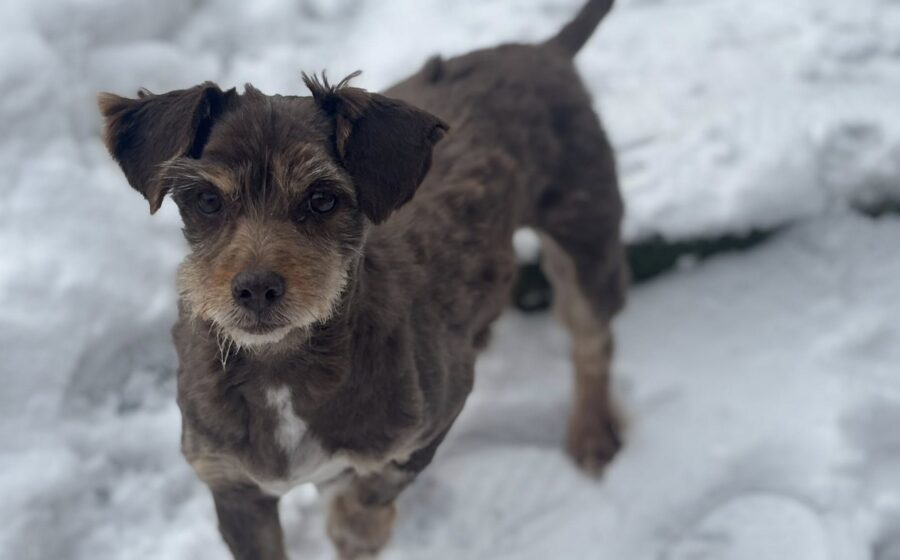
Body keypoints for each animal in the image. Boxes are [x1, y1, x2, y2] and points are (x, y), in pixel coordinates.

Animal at [97, 0, 625, 557]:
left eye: (322, 199)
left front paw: (354, 520)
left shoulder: (427, 424)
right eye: (207, 199)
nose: (256, 288)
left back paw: (593, 435)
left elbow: (366, 498)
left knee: (592, 343)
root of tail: (544, 50)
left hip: (586, 231)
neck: (282, 367)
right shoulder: (231, 483)